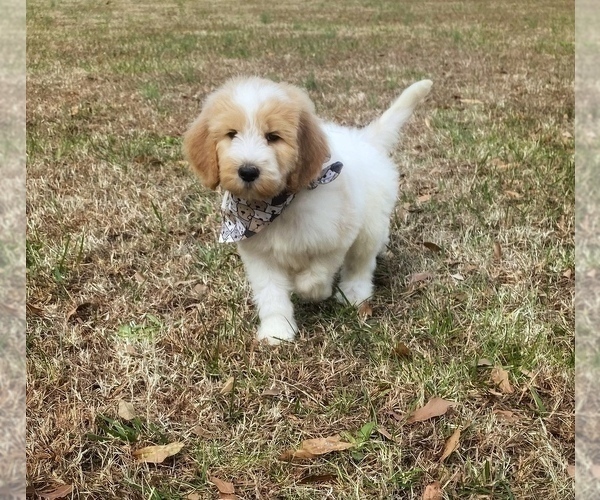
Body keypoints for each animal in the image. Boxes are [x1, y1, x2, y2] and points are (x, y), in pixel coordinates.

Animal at [183, 77, 432, 344]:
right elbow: (271, 294)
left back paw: (355, 292)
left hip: (369, 226)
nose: (248, 171)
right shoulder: (260, 255)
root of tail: (364, 139)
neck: (272, 207)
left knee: (361, 263)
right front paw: (277, 331)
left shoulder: (336, 237)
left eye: (273, 137)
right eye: (231, 134)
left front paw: (315, 292)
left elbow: (315, 276)